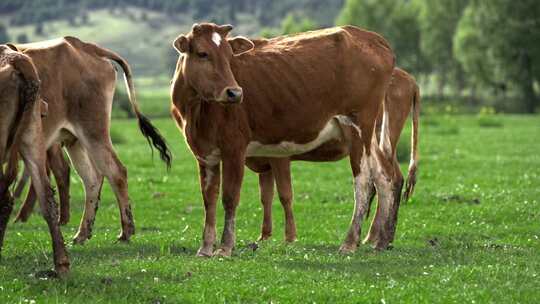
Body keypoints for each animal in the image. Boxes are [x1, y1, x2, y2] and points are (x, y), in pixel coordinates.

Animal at [172, 23, 396, 256]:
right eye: (202, 53)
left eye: (229, 56)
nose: (234, 93)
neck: (196, 112)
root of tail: (371, 37)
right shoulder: (205, 154)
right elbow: (209, 198)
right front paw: (205, 248)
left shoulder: (234, 148)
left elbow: (230, 197)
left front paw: (225, 247)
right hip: (369, 135)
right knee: (384, 176)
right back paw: (381, 241)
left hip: (357, 126)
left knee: (363, 182)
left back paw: (350, 242)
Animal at [250, 67, 422, 249]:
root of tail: (409, 79)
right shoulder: (264, 162)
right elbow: (266, 196)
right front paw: (264, 236)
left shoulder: (280, 157)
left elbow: (285, 194)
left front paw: (289, 237)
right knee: (390, 180)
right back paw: (379, 237)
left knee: (389, 180)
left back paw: (375, 237)